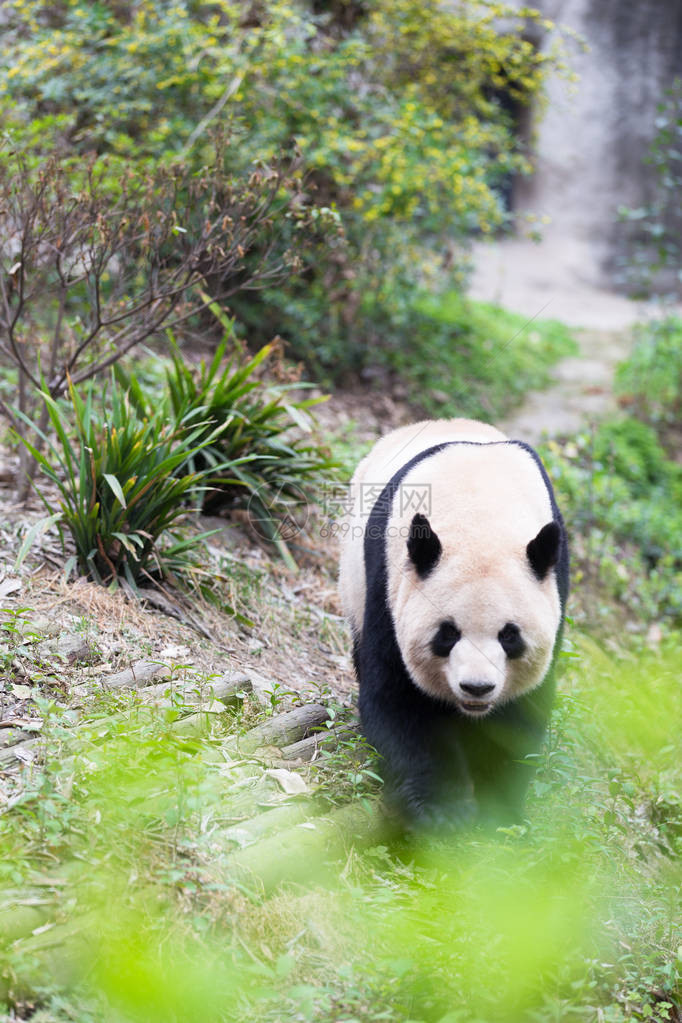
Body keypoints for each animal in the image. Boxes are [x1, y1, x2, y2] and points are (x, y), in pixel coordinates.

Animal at [339, 415, 568, 822]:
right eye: (447, 634)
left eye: (509, 636)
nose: (477, 688)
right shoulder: (389, 584)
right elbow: (401, 699)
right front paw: (444, 812)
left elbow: (519, 714)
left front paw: (497, 813)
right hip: (354, 578)